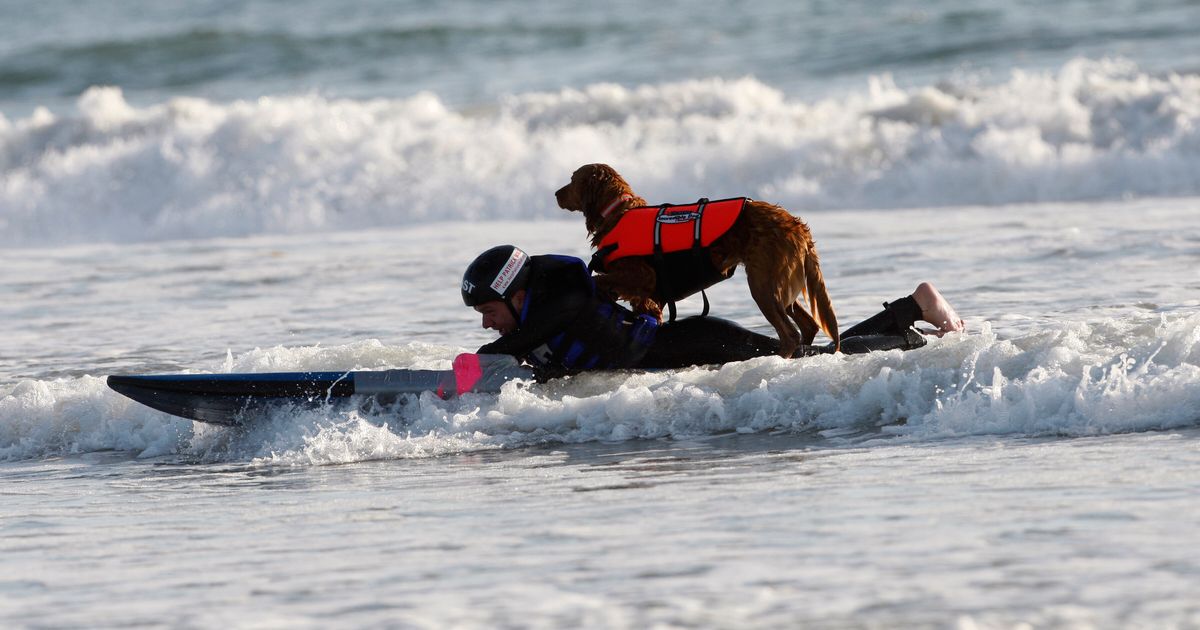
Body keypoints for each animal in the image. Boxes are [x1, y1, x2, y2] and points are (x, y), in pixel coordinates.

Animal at [552, 162, 835, 355]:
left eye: (572, 179)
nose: (555, 193)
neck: (618, 212)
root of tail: (796, 225)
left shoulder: (644, 275)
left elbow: (600, 279)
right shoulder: (649, 298)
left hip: (763, 284)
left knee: (790, 334)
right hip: (779, 282)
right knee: (808, 326)